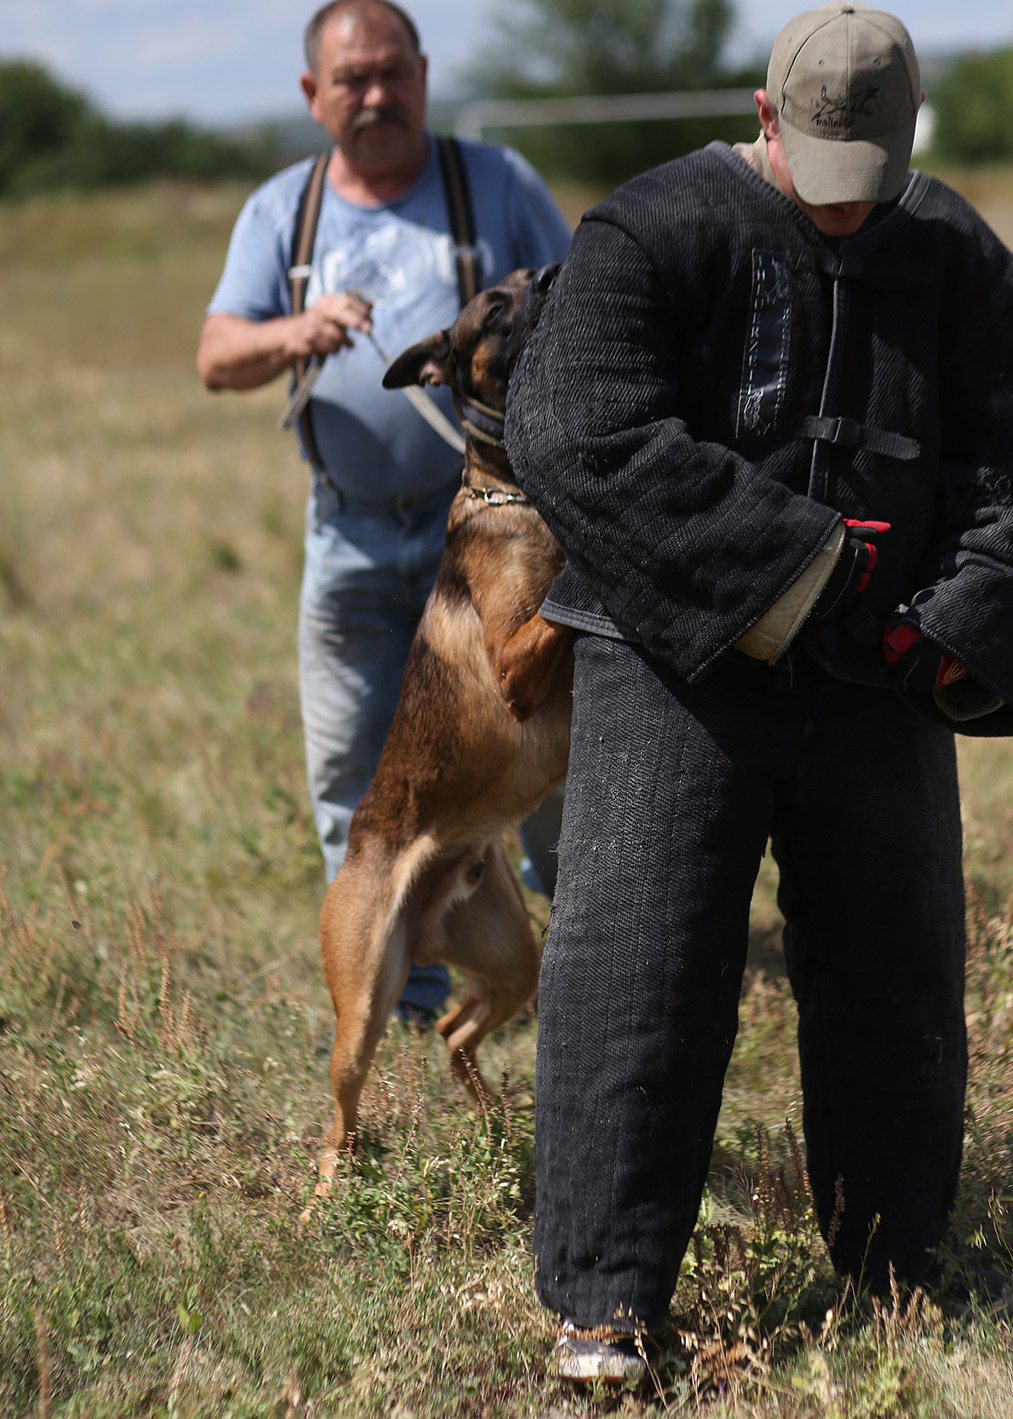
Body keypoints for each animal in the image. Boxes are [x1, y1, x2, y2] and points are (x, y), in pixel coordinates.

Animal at [307, 268, 573, 1208]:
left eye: (534, 277)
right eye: (494, 307)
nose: (558, 273)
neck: (514, 487)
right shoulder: (518, 662)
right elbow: (564, 600)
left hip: (511, 956)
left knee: (455, 1030)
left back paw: (496, 1126)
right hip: (363, 1001)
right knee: (337, 1119)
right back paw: (326, 1199)